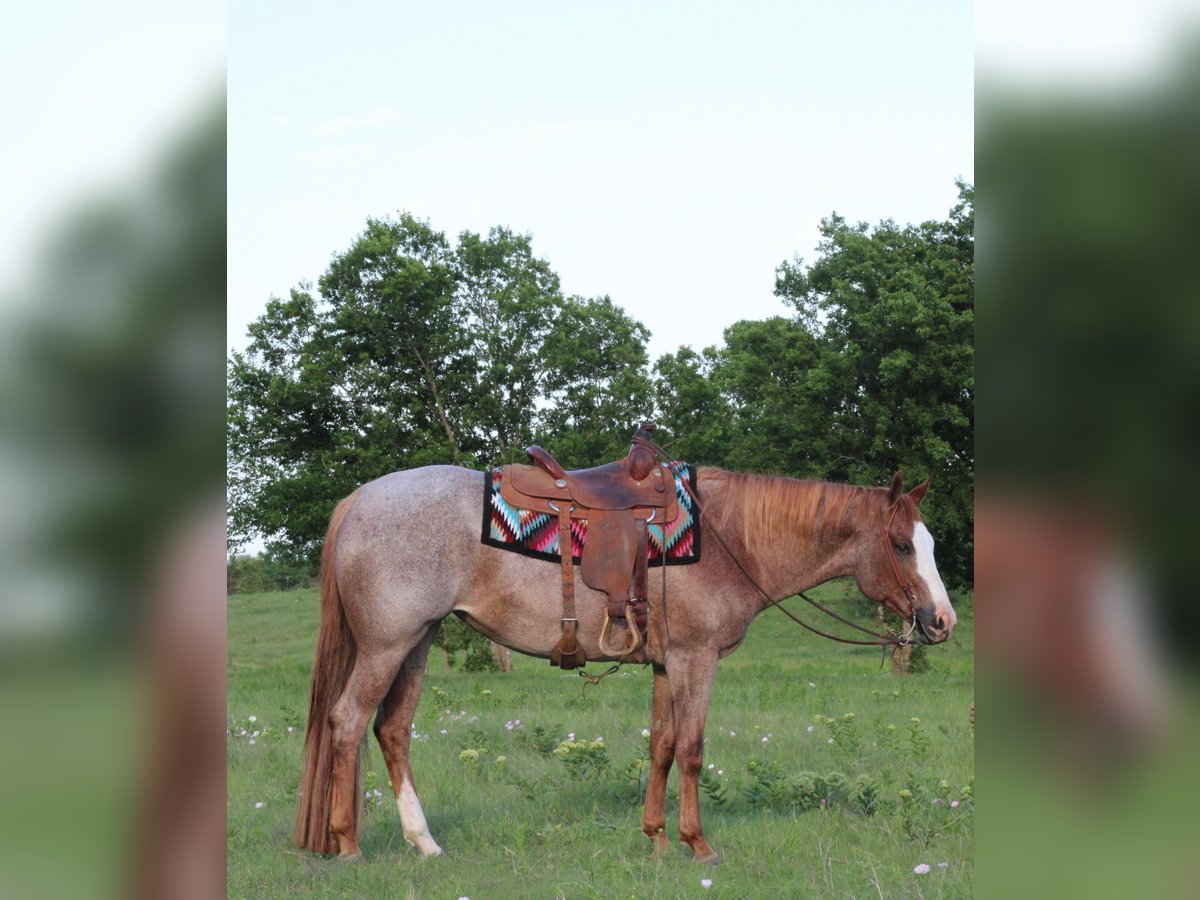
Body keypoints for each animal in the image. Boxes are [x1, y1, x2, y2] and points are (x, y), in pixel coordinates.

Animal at [290, 465, 955, 868]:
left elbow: (660, 745)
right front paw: (698, 844)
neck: (728, 541)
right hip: (388, 645)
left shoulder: (665, 664)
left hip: (418, 642)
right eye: (901, 545)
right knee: (347, 723)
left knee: (391, 730)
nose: (942, 621)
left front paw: (656, 837)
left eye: (927, 544)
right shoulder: (694, 659)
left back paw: (423, 843)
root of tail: (360, 499)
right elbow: (691, 748)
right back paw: (348, 844)